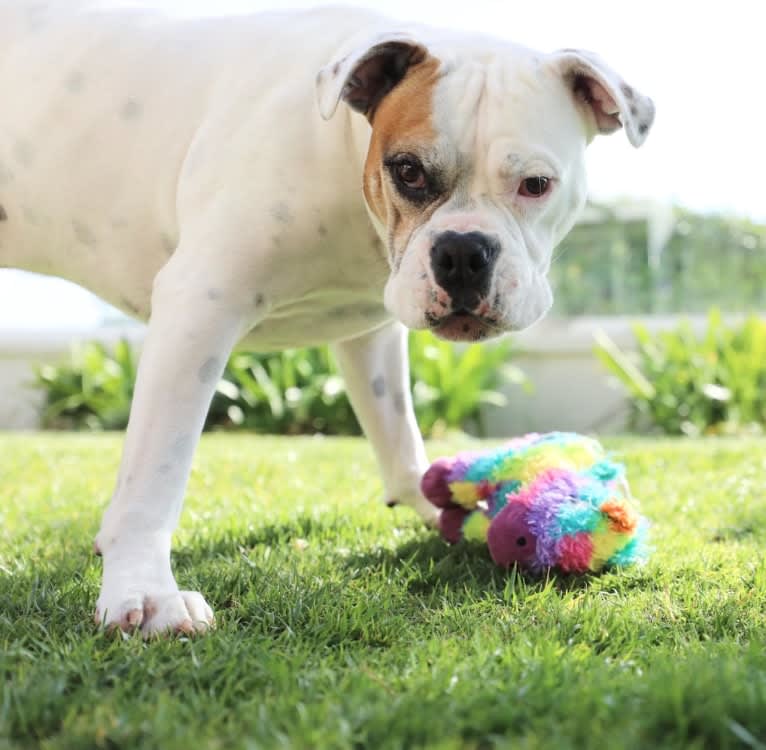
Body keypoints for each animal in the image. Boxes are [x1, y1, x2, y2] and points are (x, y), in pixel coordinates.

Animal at [0, 1, 656, 636]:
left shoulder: (370, 332)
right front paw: (143, 590)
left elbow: (399, 433)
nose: (464, 252)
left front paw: (440, 506)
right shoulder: (198, 306)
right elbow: (157, 468)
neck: (342, 151)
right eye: (408, 170)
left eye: (537, 184)